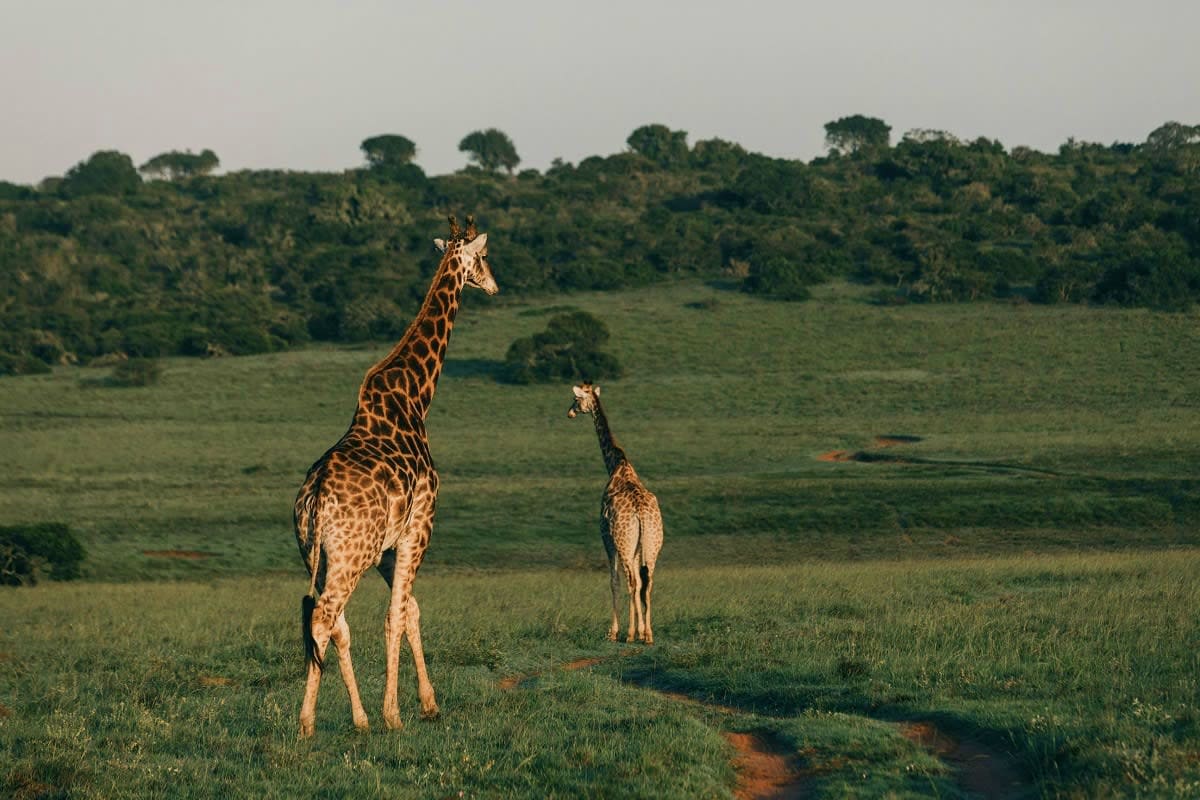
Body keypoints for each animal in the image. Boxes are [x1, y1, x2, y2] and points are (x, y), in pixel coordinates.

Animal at [293, 214, 497, 737]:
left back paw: (358, 719)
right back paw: (308, 722)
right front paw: (396, 713)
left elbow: (410, 610)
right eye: (484, 257)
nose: (493, 284)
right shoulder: (418, 527)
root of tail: (315, 497)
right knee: (324, 616)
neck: (415, 398)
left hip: (320, 555)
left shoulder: (388, 545)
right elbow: (395, 616)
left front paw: (425, 704)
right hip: (350, 555)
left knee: (334, 621)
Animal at [568, 382, 663, 645]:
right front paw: (640, 630)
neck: (615, 464)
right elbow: (640, 583)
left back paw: (630, 634)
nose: (569, 413)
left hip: (624, 542)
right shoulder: (637, 546)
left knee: (632, 581)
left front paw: (614, 631)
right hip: (652, 543)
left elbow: (614, 581)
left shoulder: (607, 537)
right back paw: (648, 634)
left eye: (576, 399)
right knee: (647, 582)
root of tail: (641, 513)